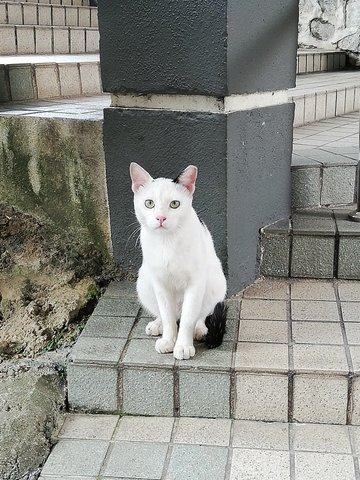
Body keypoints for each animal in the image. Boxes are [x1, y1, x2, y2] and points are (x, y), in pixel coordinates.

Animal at [130, 162, 228, 360]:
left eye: (174, 204)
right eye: (149, 203)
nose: (160, 217)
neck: (166, 242)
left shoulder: (196, 282)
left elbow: (188, 319)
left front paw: (183, 345)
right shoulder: (160, 283)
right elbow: (168, 317)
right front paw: (169, 340)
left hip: (216, 282)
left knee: (200, 313)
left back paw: (200, 328)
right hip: (144, 281)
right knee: (167, 314)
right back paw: (158, 324)